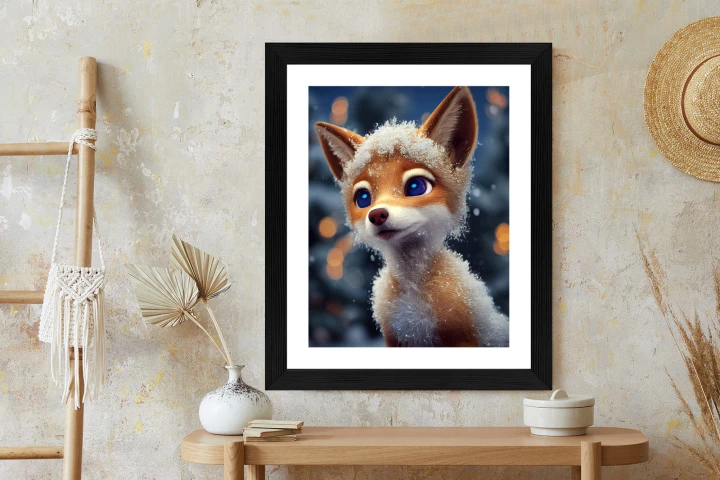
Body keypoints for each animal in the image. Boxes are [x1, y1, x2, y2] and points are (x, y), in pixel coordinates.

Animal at [315, 86, 509, 348]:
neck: (413, 293)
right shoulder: (395, 337)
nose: (377, 215)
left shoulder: (460, 336)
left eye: (416, 186)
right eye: (363, 198)